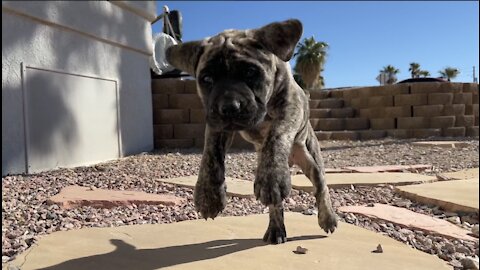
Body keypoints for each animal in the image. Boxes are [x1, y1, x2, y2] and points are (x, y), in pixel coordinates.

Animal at [167, 18, 336, 243]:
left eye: (250, 72)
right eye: (207, 79)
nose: (229, 107)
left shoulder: (291, 107)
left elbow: (277, 133)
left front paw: (272, 177)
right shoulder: (216, 125)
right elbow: (210, 155)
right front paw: (208, 196)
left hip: (310, 157)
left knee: (321, 184)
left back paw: (327, 218)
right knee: (276, 203)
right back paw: (275, 229)